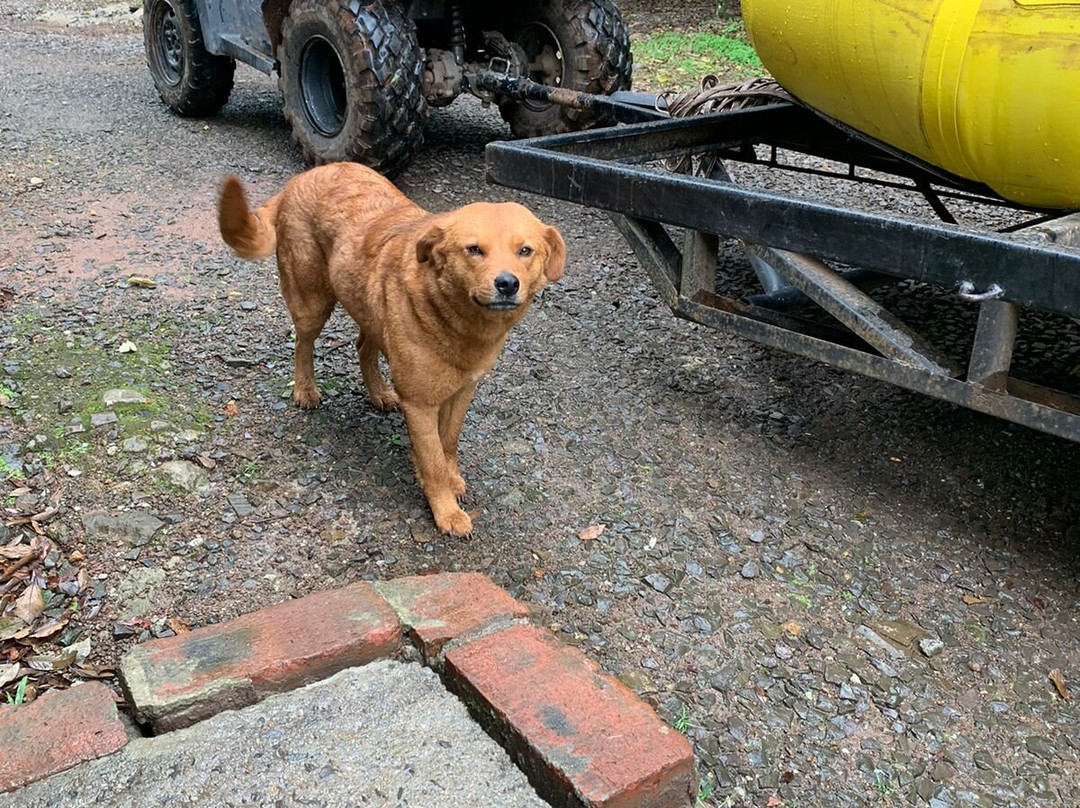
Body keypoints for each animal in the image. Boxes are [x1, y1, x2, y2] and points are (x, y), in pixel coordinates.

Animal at [219, 163, 570, 535]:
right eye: (474, 249)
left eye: (525, 251)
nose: (507, 284)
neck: (458, 324)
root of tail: (303, 177)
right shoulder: (419, 402)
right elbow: (432, 460)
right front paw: (445, 510)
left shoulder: (463, 391)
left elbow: (447, 444)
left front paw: (451, 480)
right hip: (311, 300)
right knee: (303, 343)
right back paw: (305, 390)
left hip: (371, 308)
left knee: (362, 346)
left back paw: (378, 392)